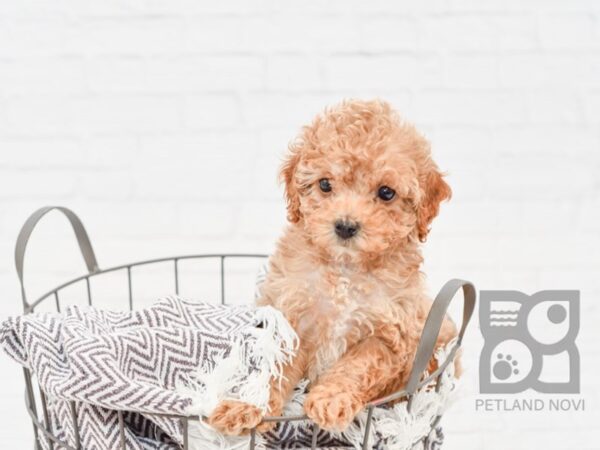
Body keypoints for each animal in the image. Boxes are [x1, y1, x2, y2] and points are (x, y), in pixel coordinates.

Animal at [209, 99, 458, 436]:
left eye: (386, 192)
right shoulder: (291, 320)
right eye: (325, 184)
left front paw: (330, 399)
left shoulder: (391, 335)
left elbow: (357, 364)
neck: (344, 270)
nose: (345, 226)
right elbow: (271, 370)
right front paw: (246, 406)